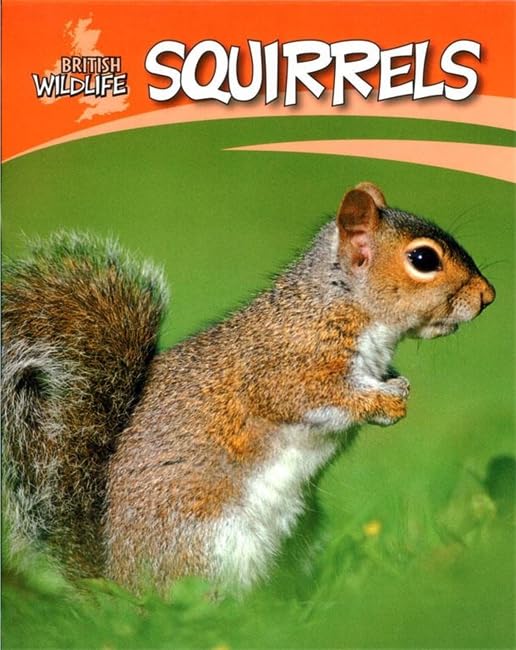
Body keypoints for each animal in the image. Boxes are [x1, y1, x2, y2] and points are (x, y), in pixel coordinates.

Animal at [2, 182, 495, 592]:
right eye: (423, 260)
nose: (488, 296)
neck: (339, 303)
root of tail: (117, 583)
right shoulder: (285, 370)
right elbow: (316, 398)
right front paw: (385, 402)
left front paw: (398, 386)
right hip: (210, 545)